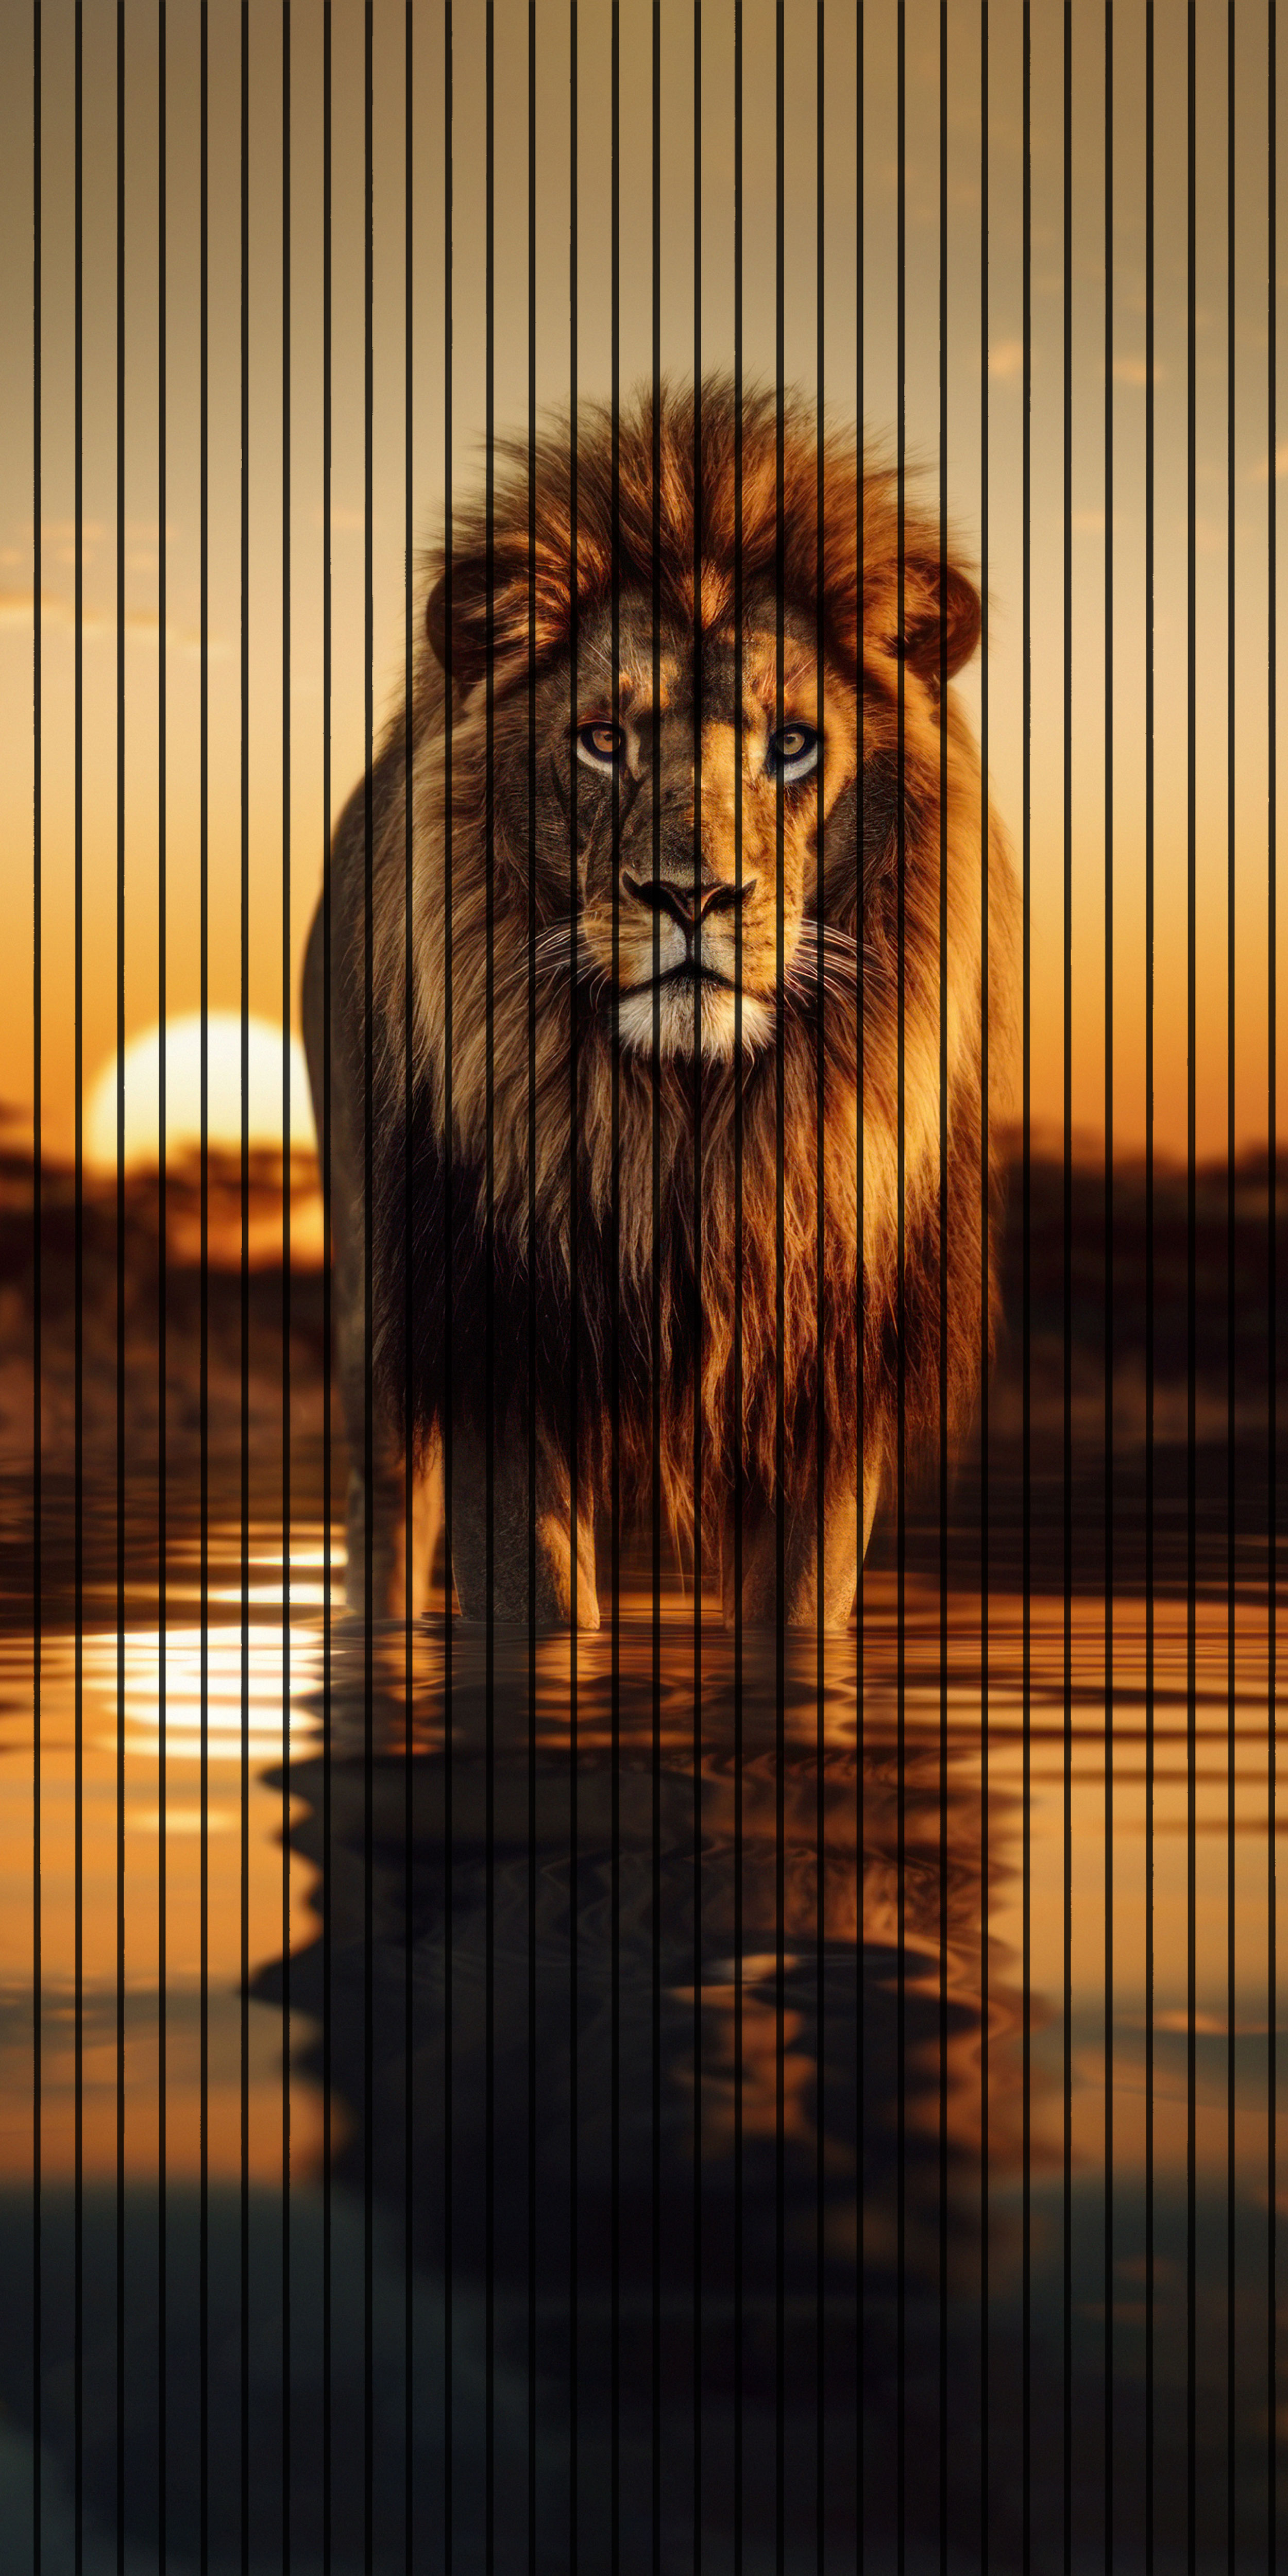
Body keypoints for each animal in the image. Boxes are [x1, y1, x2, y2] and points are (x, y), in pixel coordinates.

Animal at [303, 379, 1015, 1630]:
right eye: (601, 740)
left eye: (793, 746)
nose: (691, 896)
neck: (688, 1133)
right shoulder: (505, 1358)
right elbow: (538, 1606)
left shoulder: (829, 1386)